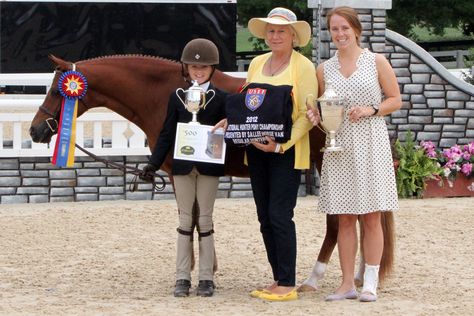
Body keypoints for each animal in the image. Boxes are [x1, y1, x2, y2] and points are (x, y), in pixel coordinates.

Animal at [27, 53, 394, 282]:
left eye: (57, 91)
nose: (35, 130)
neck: (160, 94)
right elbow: (196, 216)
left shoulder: (179, 171)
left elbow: (189, 218)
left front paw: (196, 269)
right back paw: (358, 276)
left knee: (337, 224)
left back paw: (314, 278)